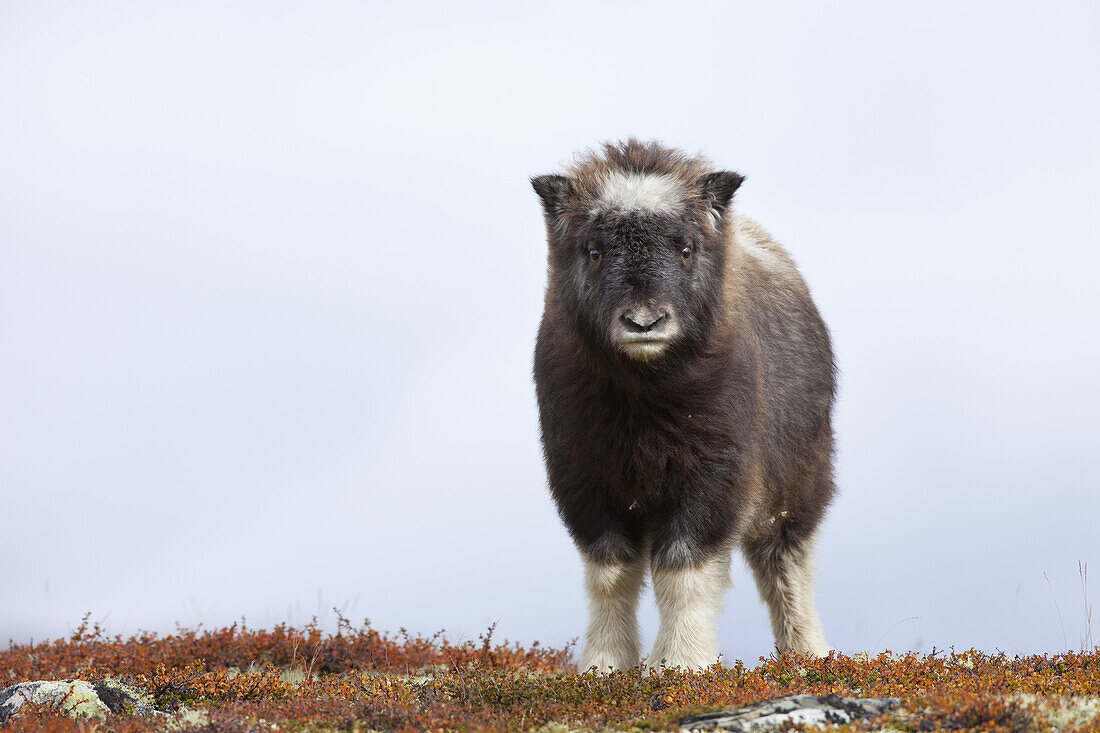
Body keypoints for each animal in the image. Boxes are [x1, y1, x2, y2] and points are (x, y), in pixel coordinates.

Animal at [532, 139, 831, 669]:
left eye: (686, 248)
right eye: (594, 250)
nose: (643, 322)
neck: (643, 393)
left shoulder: (712, 478)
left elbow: (684, 569)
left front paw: (681, 664)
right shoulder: (586, 479)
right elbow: (610, 574)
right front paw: (604, 666)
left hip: (796, 486)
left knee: (785, 565)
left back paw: (806, 658)